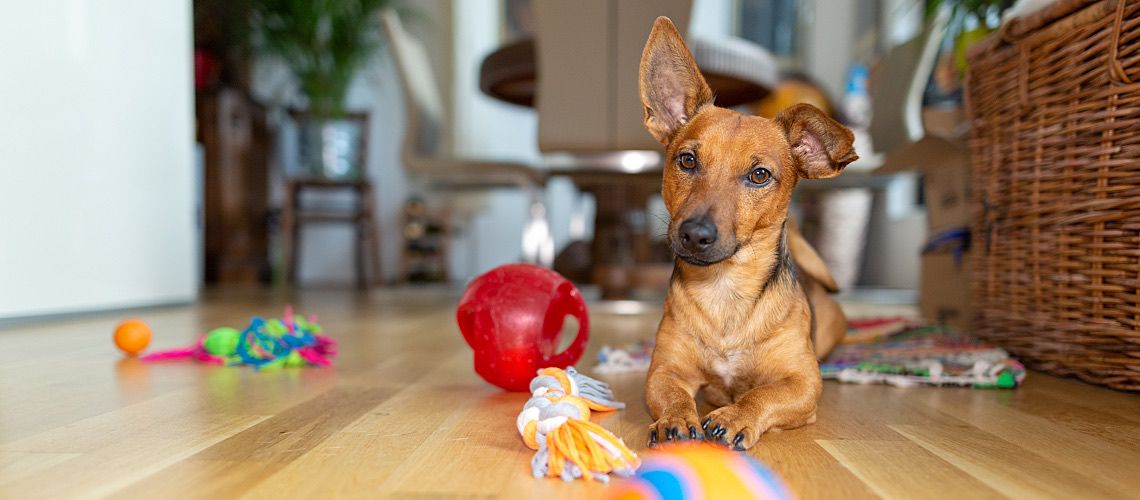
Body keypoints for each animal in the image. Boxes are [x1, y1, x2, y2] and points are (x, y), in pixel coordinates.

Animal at [642, 17, 857, 453]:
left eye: (760, 175)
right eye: (686, 160)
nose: (695, 234)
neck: (725, 290)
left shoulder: (803, 383)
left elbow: (763, 394)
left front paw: (736, 416)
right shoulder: (664, 370)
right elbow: (673, 395)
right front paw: (676, 418)